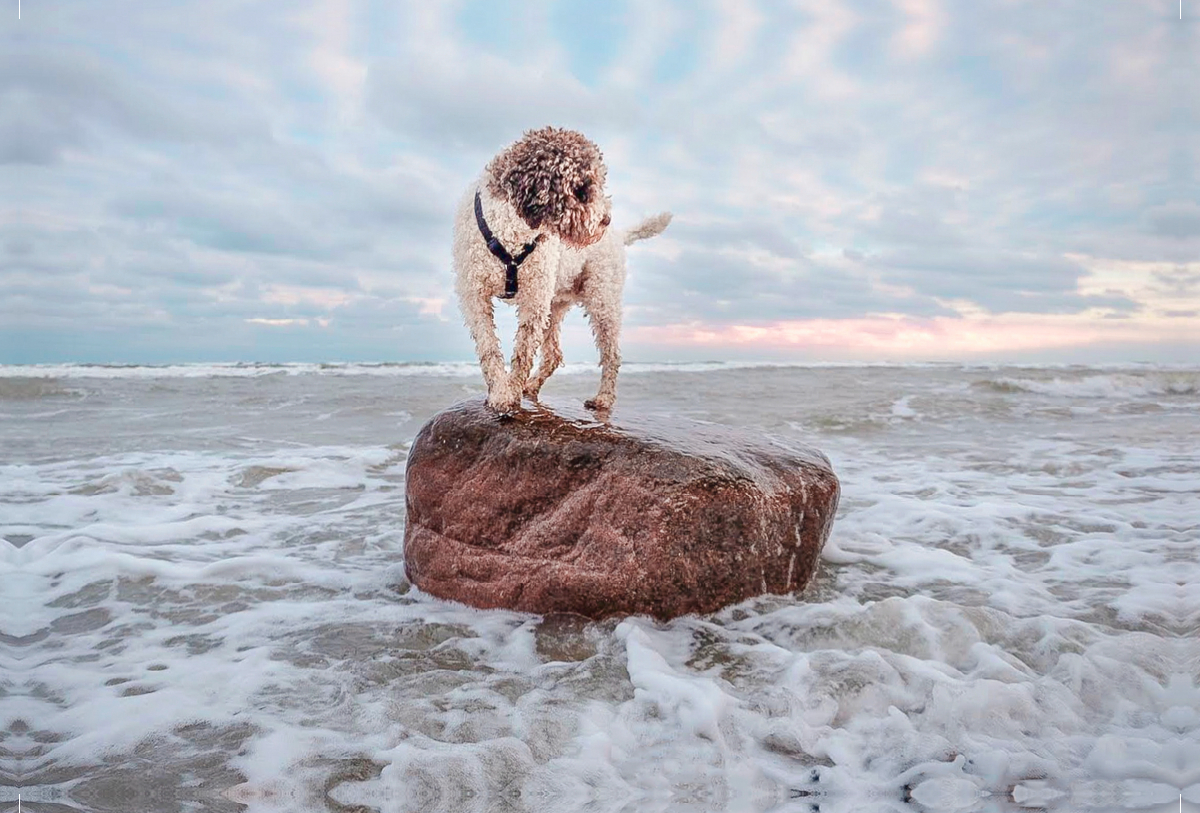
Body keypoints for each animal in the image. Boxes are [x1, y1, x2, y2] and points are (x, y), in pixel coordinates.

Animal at [451, 129, 672, 417]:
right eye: (581, 190)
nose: (606, 220)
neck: (508, 230)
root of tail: (619, 236)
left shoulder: (535, 300)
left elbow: (522, 352)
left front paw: (510, 393)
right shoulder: (474, 296)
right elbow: (488, 347)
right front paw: (501, 391)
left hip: (602, 301)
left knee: (611, 355)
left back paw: (603, 399)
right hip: (555, 306)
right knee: (555, 354)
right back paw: (532, 386)